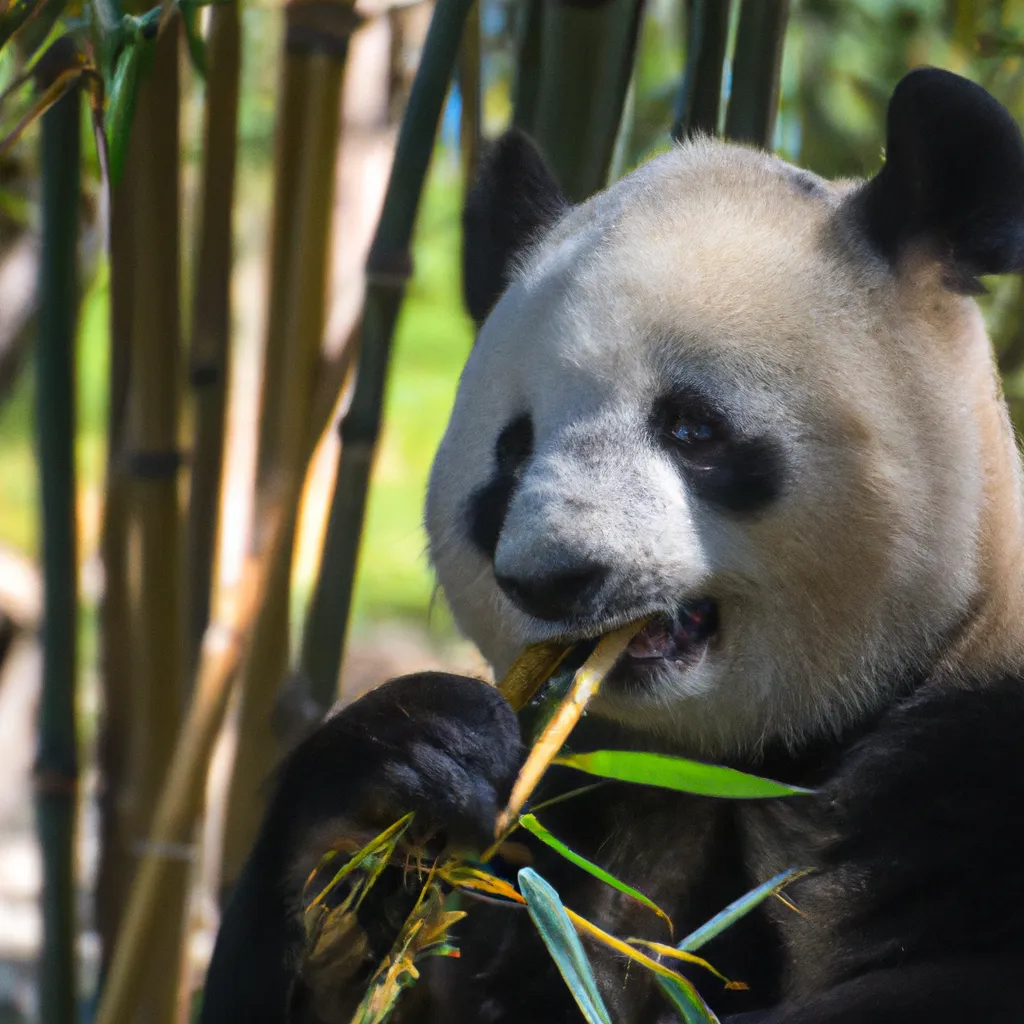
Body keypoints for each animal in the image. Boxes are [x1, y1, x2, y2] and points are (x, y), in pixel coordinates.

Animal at [200, 68, 1024, 1023]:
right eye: (513, 449)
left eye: (693, 427)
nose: (552, 577)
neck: (756, 752)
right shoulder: (575, 815)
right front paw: (405, 770)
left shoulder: (970, 753)